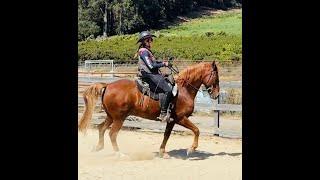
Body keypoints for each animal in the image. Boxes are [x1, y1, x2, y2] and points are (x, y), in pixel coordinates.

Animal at [78, 62, 219, 158]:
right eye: (216, 76)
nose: (216, 95)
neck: (183, 91)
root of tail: (108, 85)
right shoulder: (181, 118)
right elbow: (196, 130)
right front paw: (191, 149)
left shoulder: (171, 120)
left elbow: (166, 135)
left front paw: (162, 152)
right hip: (119, 118)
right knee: (112, 133)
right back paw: (119, 154)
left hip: (111, 116)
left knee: (101, 128)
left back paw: (98, 147)